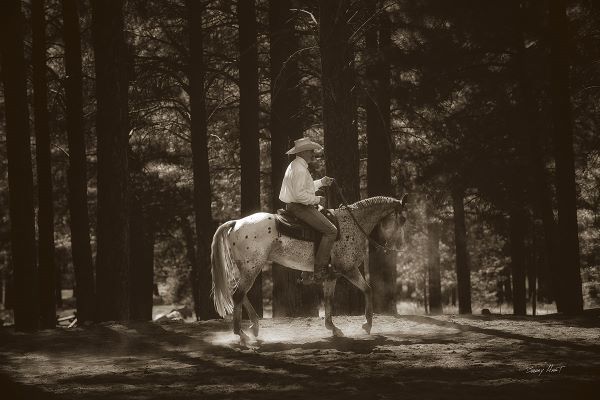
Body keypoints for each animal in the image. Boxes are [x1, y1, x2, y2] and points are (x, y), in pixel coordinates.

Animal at [210, 195, 408, 344]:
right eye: (403, 219)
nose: (399, 246)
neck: (351, 224)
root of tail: (236, 223)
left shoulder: (333, 275)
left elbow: (332, 299)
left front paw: (334, 328)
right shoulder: (348, 269)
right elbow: (367, 290)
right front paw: (367, 324)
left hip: (247, 268)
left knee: (239, 293)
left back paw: (254, 327)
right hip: (252, 267)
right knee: (238, 294)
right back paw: (242, 335)